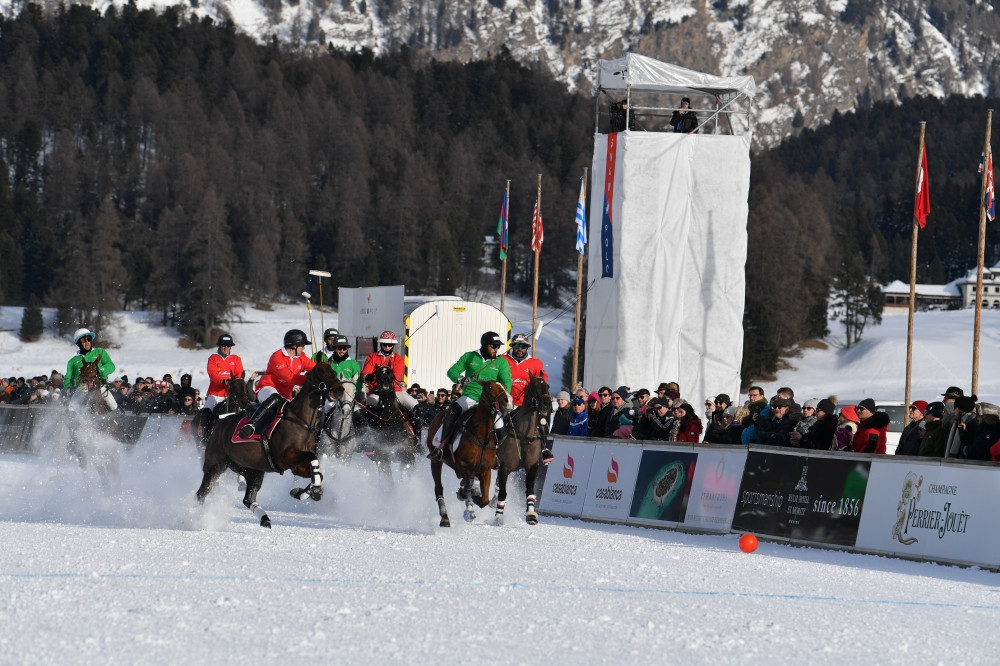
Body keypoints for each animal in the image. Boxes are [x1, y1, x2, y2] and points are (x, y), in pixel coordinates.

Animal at [195, 360, 344, 528]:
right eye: (320, 372)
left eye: (334, 372)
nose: (339, 389)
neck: (301, 421)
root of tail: (220, 423)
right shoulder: (285, 456)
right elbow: (313, 457)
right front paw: (315, 490)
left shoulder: (296, 465)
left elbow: (318, 473)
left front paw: (302, 493)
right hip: (215, 465)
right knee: (201, 493)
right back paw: (196, 518)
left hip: (252, 470)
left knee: (248, 499)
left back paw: (264, 518)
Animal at [426, 378, 512, 524]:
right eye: (489, 387)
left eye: (505, 387)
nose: (507, 401)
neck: (481, 436)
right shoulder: (462, 467)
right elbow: (468, 485)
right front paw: (469, 504)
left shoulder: (485, 470)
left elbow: (484, 500)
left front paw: (473, 496)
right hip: (436, 461)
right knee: (439, 488)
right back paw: (445, 518)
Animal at [494, 374, 556, 524]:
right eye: (533, 385)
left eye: (547, 385)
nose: (546, 403)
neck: (524, 434)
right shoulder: (505, 466)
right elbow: (503, 492)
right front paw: (499, 516)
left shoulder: (532, 466)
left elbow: (530, 491)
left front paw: (531, 514)